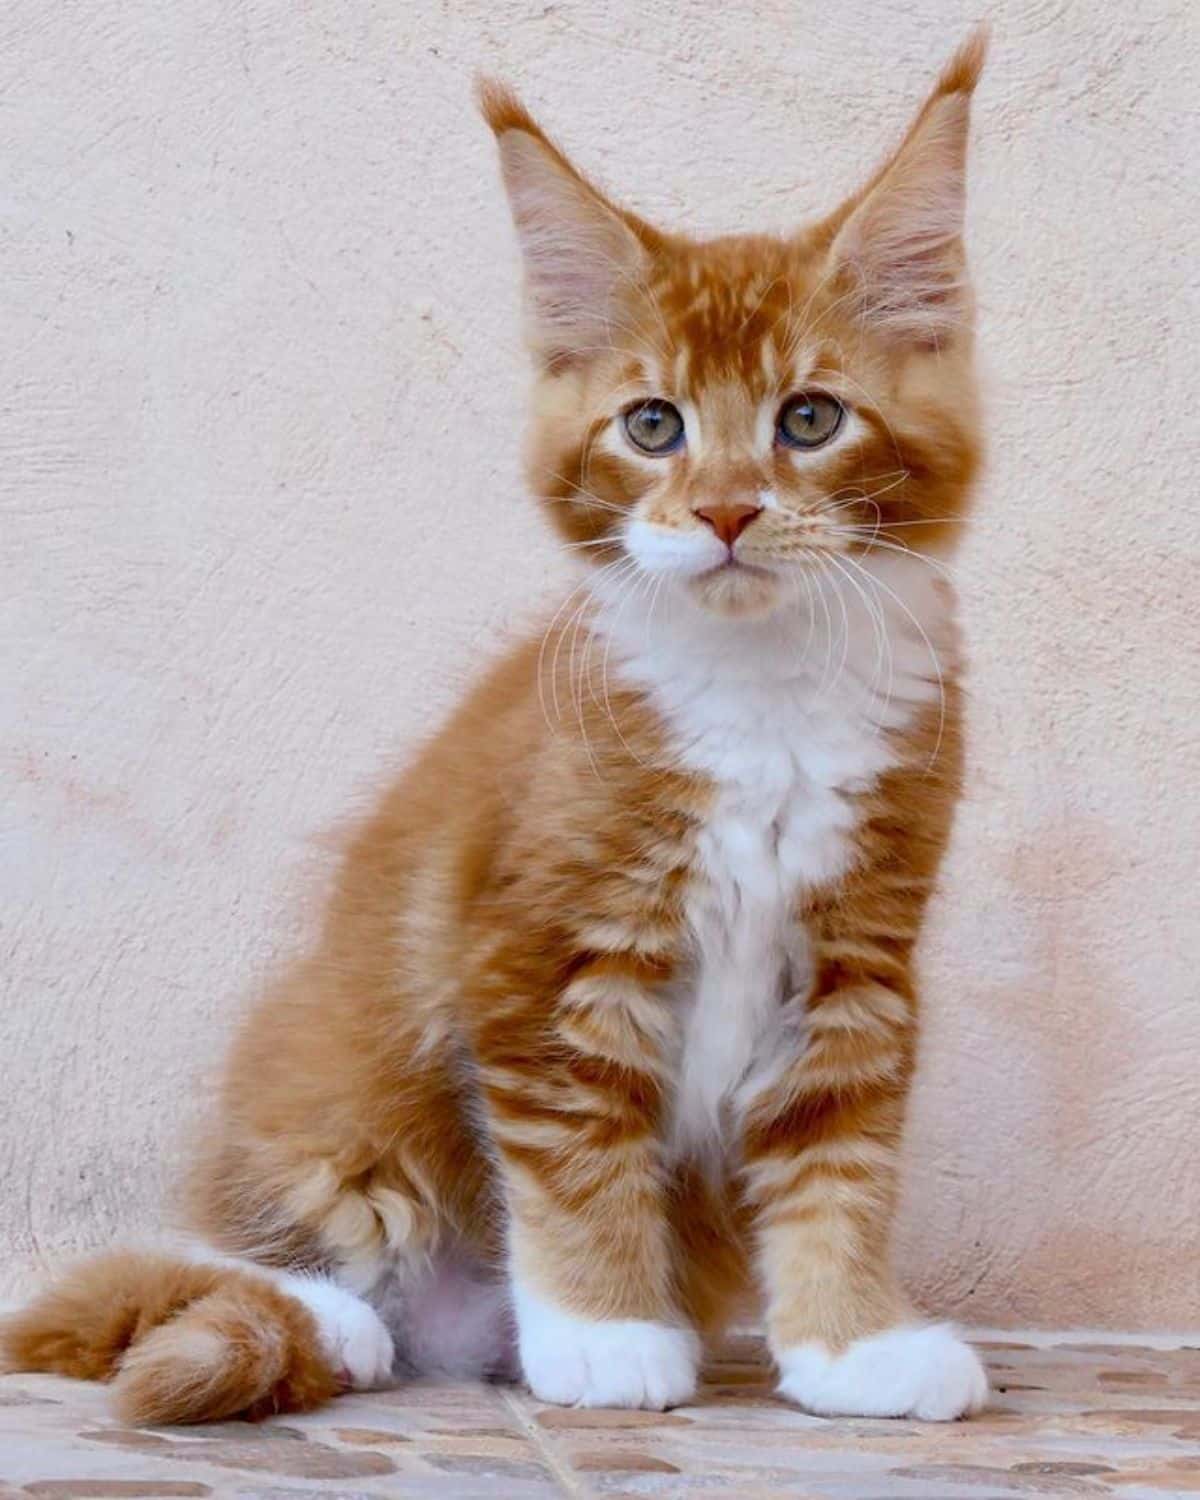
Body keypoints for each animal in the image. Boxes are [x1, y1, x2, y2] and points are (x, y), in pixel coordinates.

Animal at [4, 32, 990, 1416]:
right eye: (653, 426)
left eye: (809, 419)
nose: (726, 511)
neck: (762, 695)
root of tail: (448, 1337)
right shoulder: (539, 944)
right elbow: (579, 1154)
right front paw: (605, 1332)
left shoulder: (860, 959)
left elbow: (836, 1168)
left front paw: (851, 1347)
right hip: (333, 1082)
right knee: (168, 1259)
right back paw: (329, 1317)